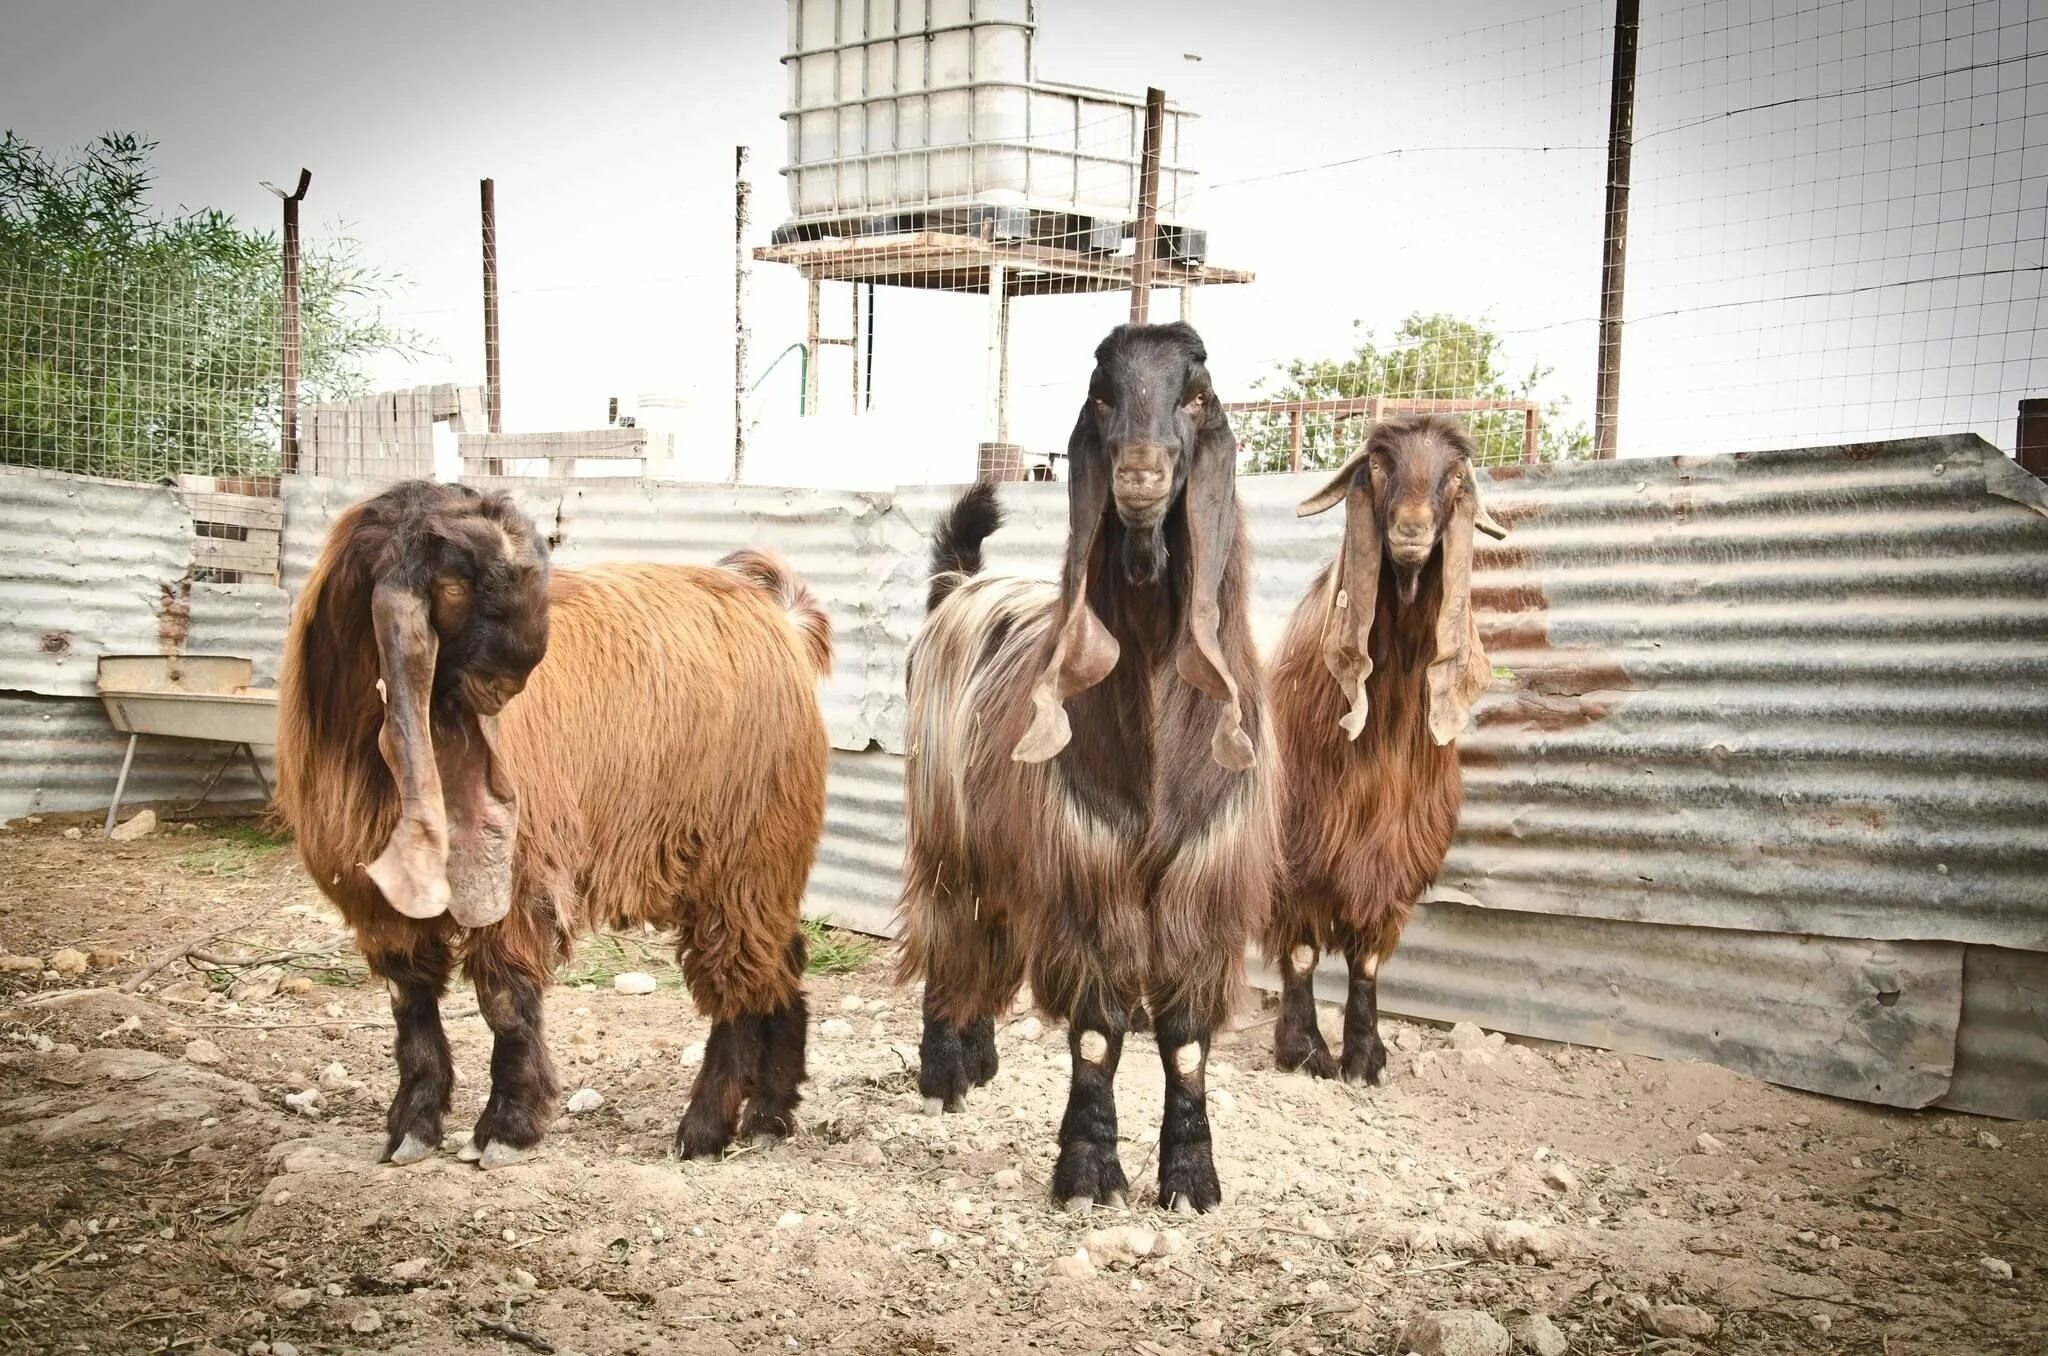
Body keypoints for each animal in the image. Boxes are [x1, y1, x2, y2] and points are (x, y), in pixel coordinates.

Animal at [274, 485, 831, 1171]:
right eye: (454, 581)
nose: (517, 671)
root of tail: (782, 618)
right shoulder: (378, 899)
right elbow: (412, 1006)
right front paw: (413, 1126)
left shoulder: (518, 879)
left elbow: (506, 1002)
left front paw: (507, 1127)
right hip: (762, 866)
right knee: (781, 964)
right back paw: (770, 1115)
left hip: (744, 856)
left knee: (739, 982)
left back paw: (704, 1129)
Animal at [901, 323, 1277, 1212]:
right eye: (1102, 394)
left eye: (1197, 394)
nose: (1139, 475)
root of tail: (957, 588)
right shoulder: (1089, 870)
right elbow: (1101, 1032)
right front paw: (1087, 1171)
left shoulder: (1200, 882)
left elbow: (1185, 1042)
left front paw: (1191, 1177)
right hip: (943, 831)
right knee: (947, 931)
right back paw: (945, 1073)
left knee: (989, 930)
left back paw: (980, 1056)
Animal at [1261, 419, 1507, 1089]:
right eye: (1376, 463)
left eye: (1455, 472)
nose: (1412, 530)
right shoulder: (1298, 850)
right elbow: (1301, 950)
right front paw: (1305, 1051)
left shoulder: (1394, 853)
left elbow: (1367, 959)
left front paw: (1365, 1056)